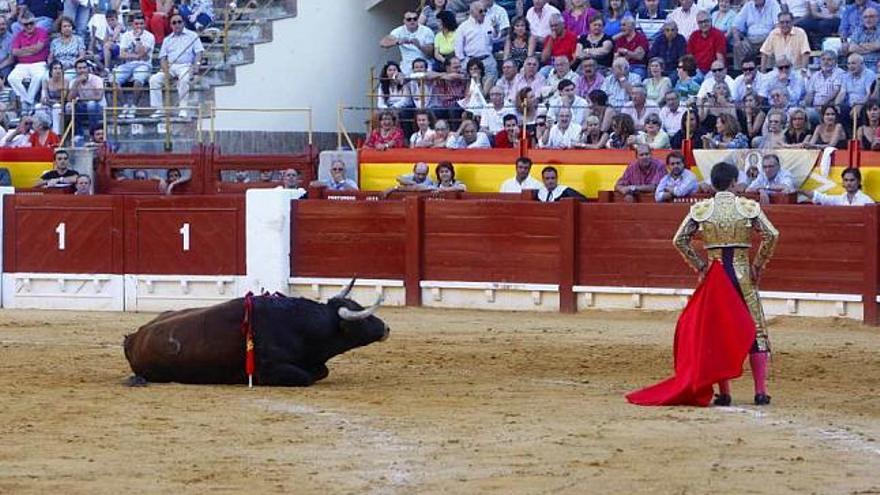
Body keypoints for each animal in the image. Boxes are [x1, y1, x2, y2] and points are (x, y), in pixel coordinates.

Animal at [122, 280, 390, 388]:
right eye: (362, 319)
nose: (386, 328)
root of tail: (132, 338)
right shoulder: (274, 369)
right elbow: (308, 376)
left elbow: (322, 370)